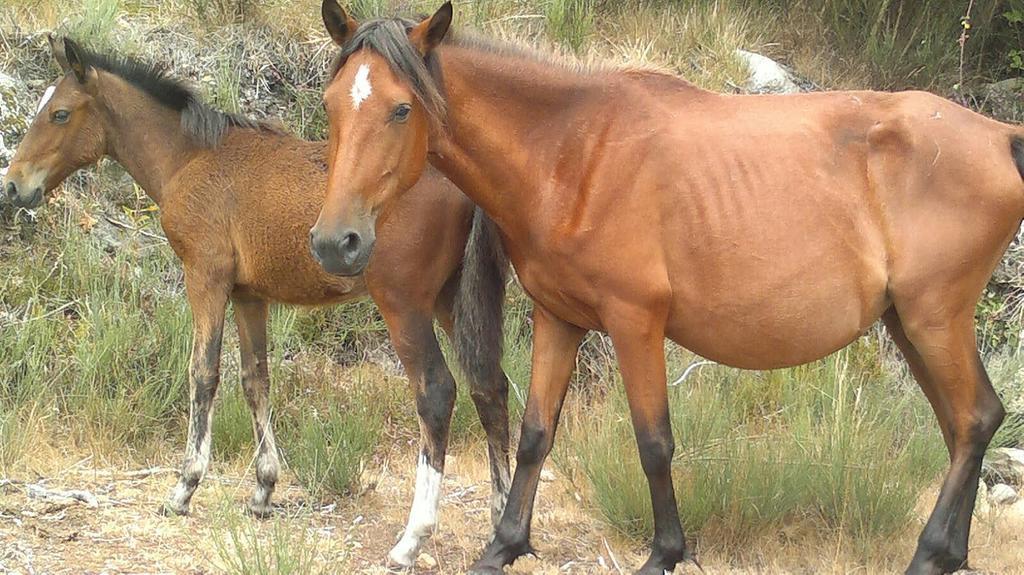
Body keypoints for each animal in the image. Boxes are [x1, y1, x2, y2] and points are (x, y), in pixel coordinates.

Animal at [2, 35, 509, 564]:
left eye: (59, 113)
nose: (14, 185)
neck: (189, 159)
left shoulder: (205, 276)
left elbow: (203, 374)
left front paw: (184, 488)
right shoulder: (249, 296)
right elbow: (255, 379)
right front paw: (264, 489)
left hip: (405, 304)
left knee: (437, 392)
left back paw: (413, 538)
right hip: (452, 301)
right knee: (490, 387)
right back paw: (500, 523)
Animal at [309, 2, 1024, 568]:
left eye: (402, 108)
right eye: (330, 105)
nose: (334, 241)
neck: (572, 153)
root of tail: (1001, 137)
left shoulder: (637, 323)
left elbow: (654, 444)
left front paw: (664, 553)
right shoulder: (558, 319)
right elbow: (537, 433)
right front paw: (504, 546)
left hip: (934, 318)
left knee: (973, 419)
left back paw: (931, 553)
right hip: (909, 323)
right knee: (966, 425)